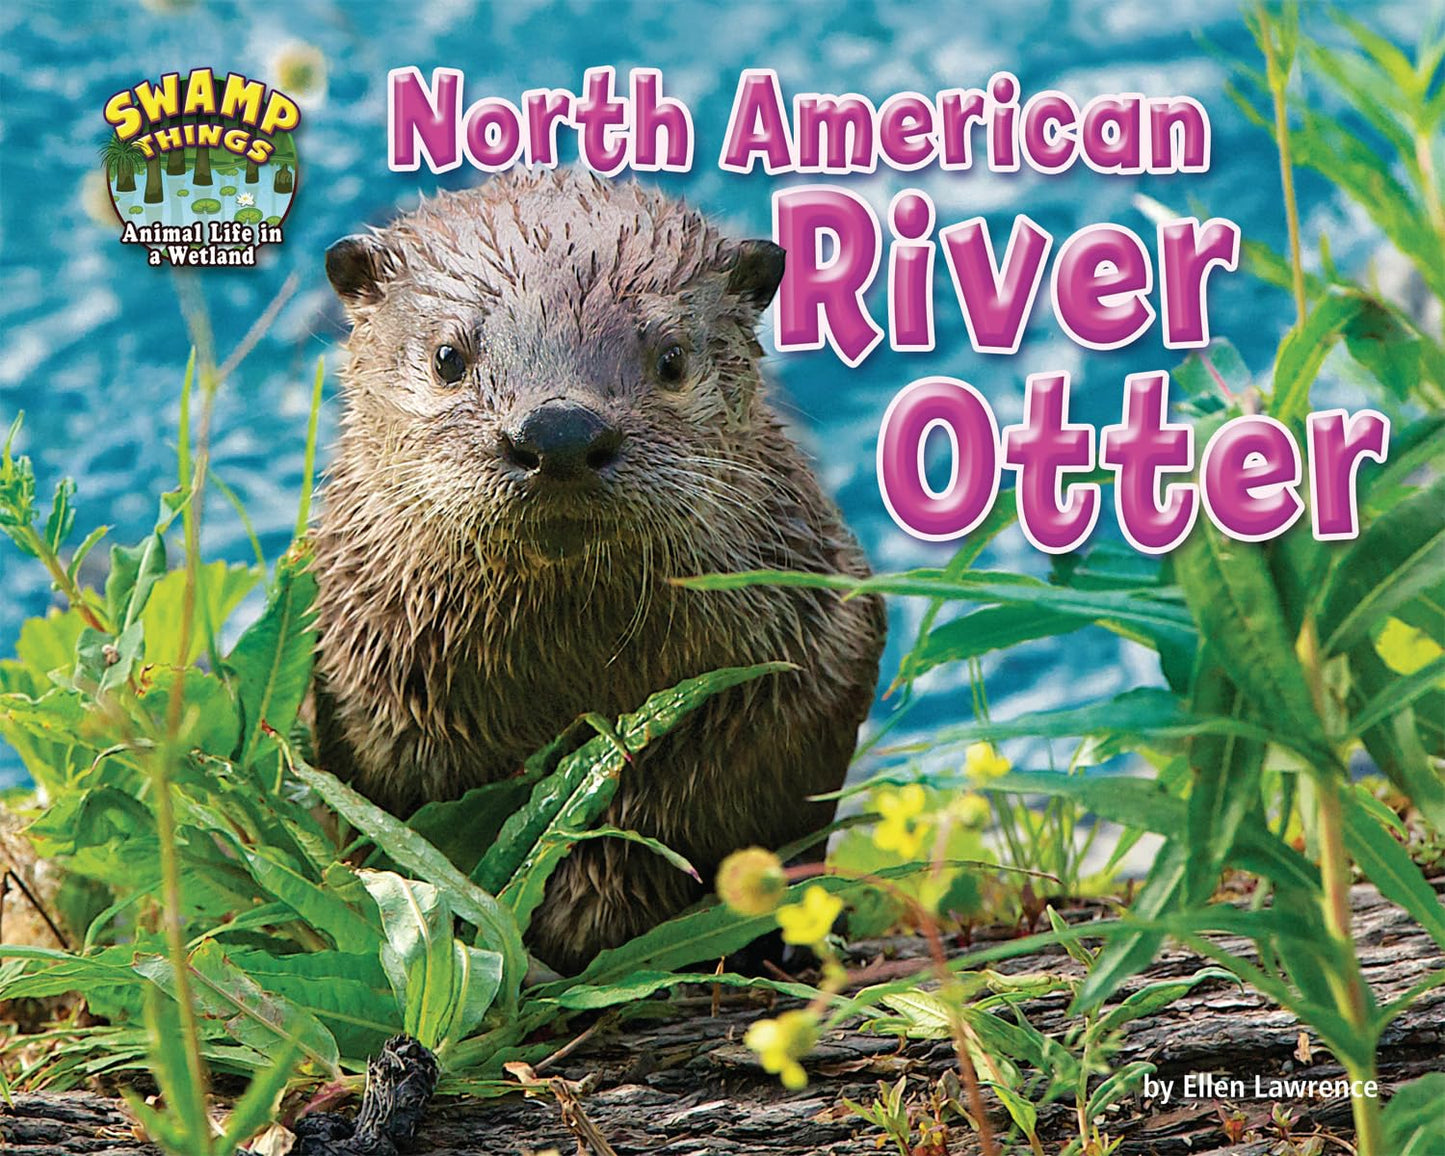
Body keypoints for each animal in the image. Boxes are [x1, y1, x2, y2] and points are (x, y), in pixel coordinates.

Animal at [314, 169, 885, 973]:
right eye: (449, 356)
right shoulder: (369, 697)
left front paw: (592, 894)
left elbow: (697, 797)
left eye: (671, 358)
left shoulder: (812, 660)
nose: (559, 430)